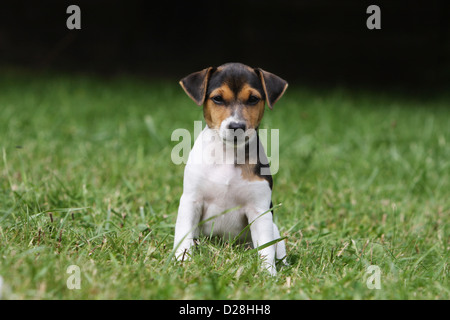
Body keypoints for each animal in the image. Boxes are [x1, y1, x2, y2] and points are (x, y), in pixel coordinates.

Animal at [173, 62, 288, 276]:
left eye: (253, 99)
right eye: (217, 98)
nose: (236, 126)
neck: (228, 153)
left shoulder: (259, 209)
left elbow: (266, 248)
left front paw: (268, 275)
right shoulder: (191, 200)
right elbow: (183, 236)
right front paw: (182, 261)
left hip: (274, 228)